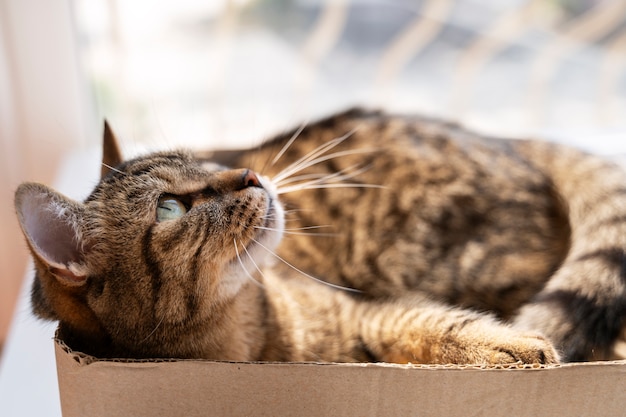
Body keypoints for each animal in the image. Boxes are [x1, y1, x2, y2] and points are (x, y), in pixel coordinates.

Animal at [13, 108, 624, 364]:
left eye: (202, 160)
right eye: (168, 208)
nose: (250, 173)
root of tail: (507, 140)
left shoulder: (366, 313)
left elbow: (433, 324)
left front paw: (510, 346)